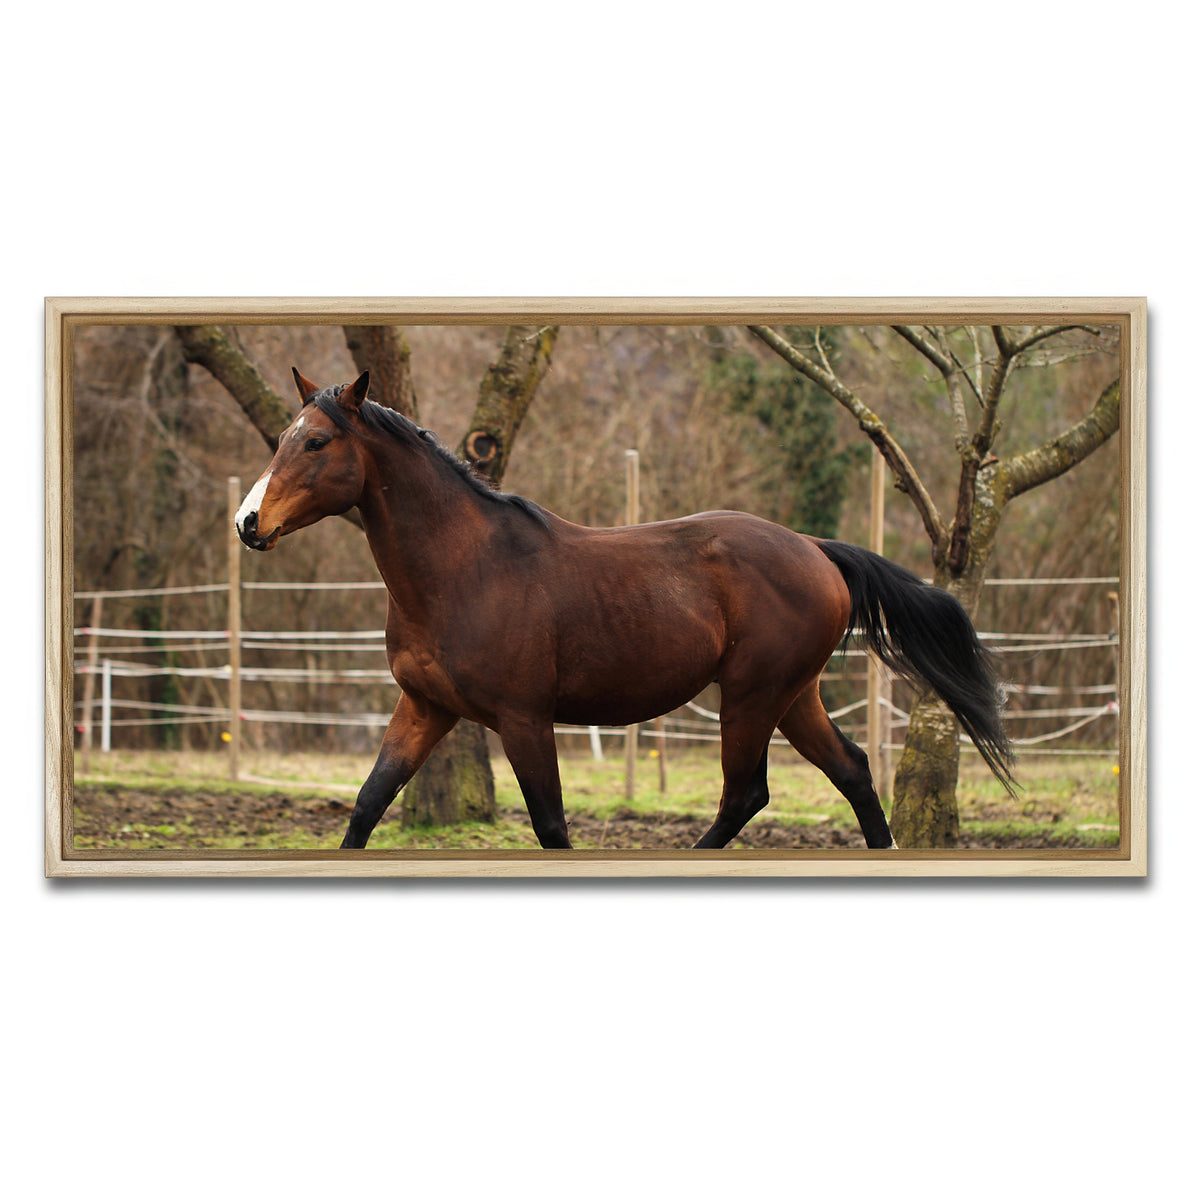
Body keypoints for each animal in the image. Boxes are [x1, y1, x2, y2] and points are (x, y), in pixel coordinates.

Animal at [235, 368, 1014, 851]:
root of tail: (816, 549)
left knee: (745, 795)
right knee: (849, 771)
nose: (247, 523)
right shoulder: (424, 708)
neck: (462, 568)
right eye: (281, 439)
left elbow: (551, 825)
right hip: (793, 696)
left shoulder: (523, 719)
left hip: (752, 695)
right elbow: (368, 803)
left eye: (316, 441)